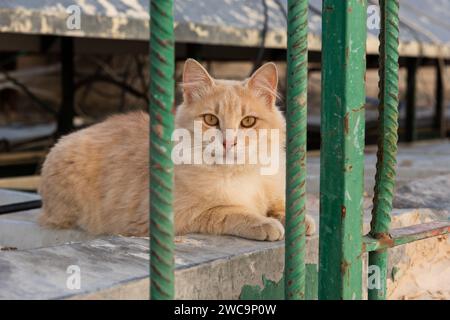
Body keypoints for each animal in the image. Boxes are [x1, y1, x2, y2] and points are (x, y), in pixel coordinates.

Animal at [37, 58, 314, 241]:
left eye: (248, 122)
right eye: (210, 119)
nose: (229, 142)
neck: (239, 174)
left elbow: (282, 205)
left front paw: (299, 220)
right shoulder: (176, 216)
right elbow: (229, 212)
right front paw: (264, 223)